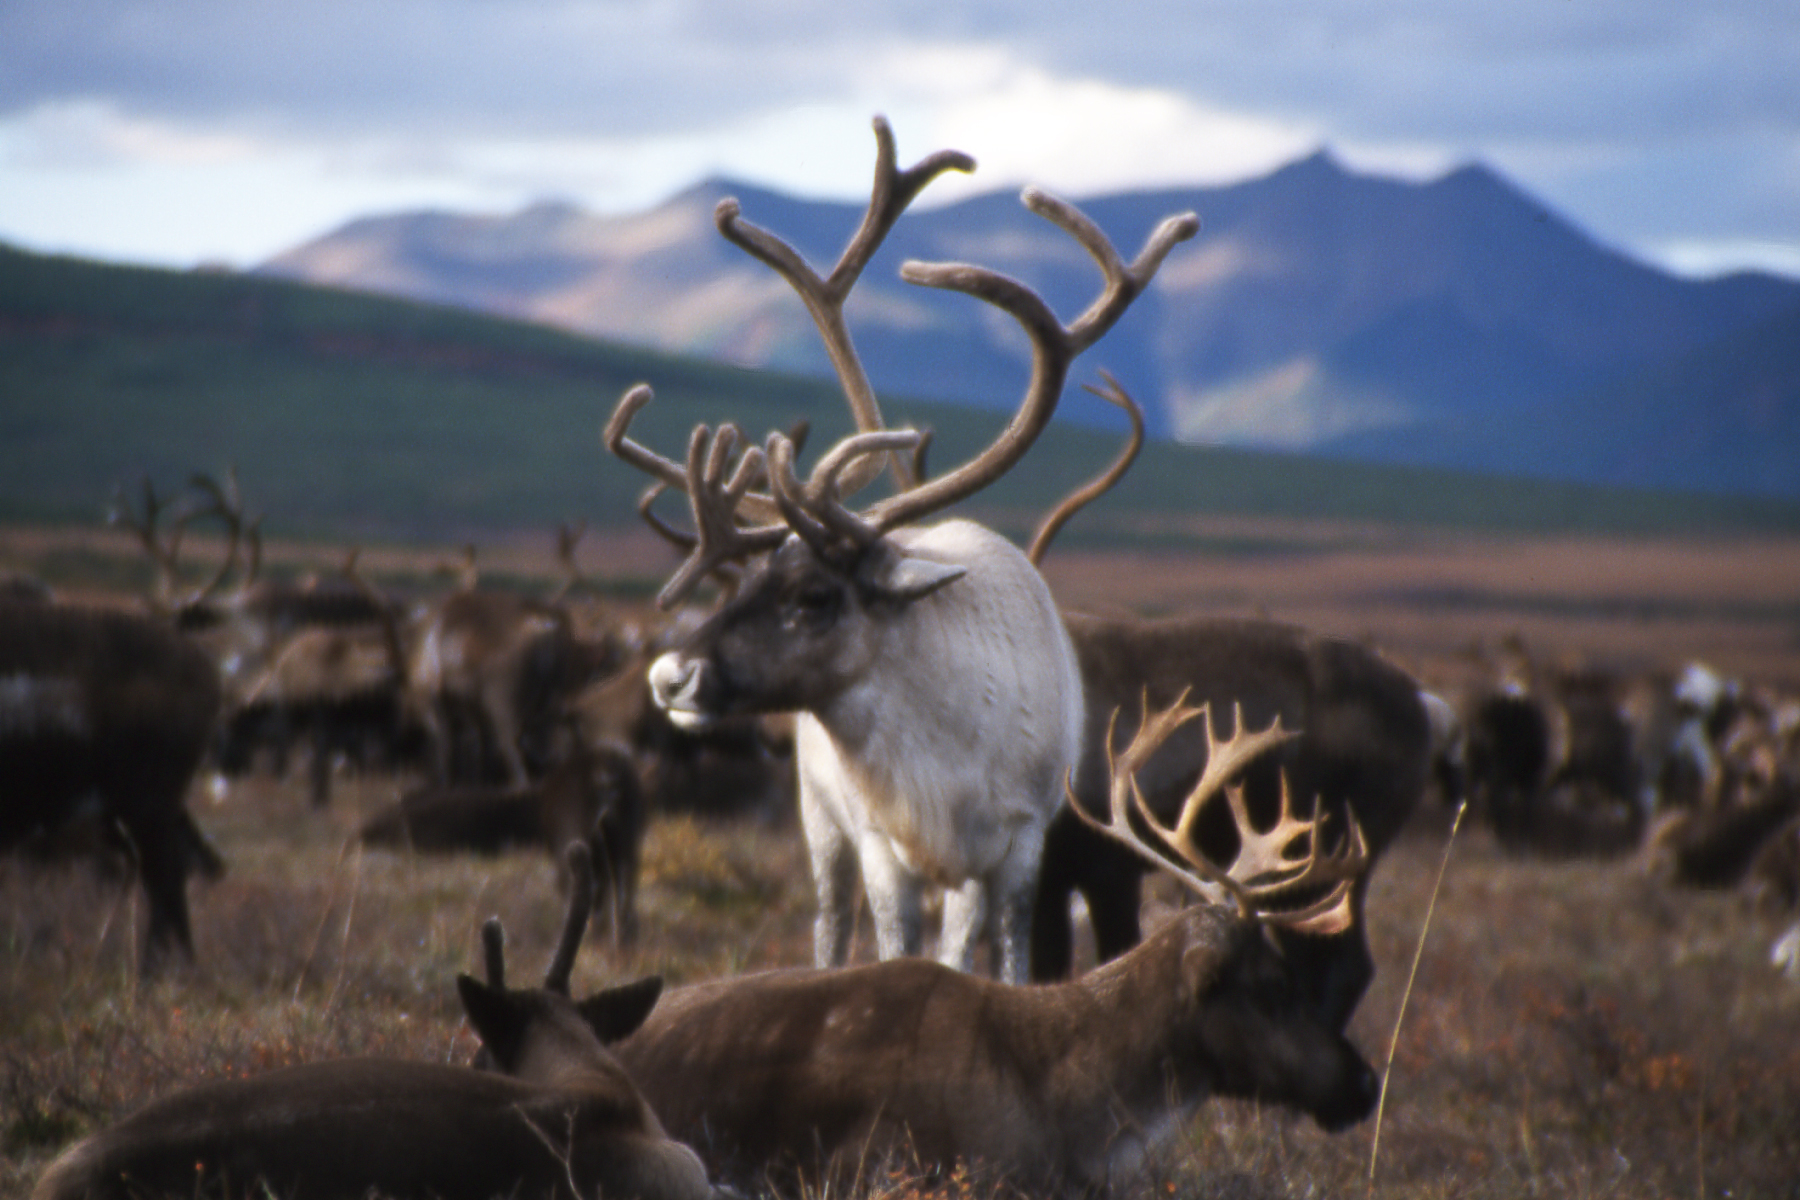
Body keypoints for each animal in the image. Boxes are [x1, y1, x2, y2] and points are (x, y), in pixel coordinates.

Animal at [610, 117, 1198, 984]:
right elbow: (891, 949)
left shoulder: (1018, 845)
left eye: (815, 596)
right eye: (744, 579)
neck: (941, 752)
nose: (668, 675)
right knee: (829, 922)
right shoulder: (883, 845)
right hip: (820, 822)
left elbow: (1002, 964)